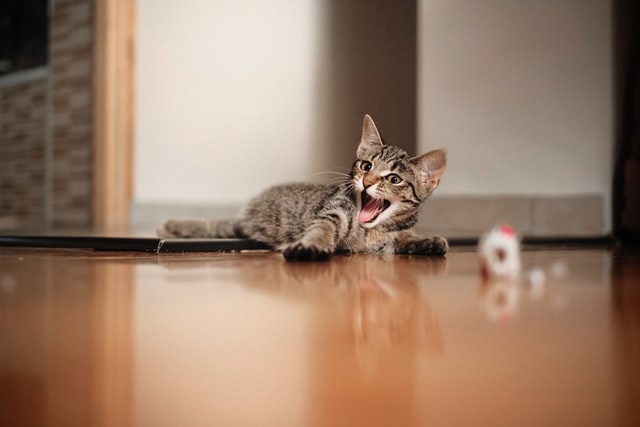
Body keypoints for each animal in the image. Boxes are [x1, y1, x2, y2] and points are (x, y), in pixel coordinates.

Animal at [158, 113, 448, 260]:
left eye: (394, 179)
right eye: (366, 166)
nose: (366, 182)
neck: (372, 231)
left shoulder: (387, 241)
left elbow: (403, 238)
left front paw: (427, 241)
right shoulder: (335, 212)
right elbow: (323, 228)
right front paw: (312, 245)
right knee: (214, 225)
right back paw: (173, 226)